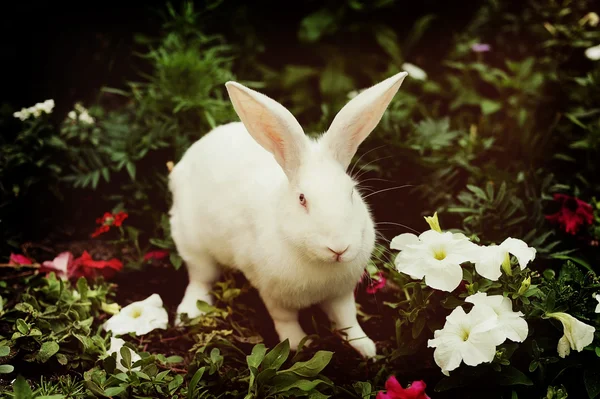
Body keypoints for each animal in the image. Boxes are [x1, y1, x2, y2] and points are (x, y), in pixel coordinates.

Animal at [171, 70, 410, 358]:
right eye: (302, 199)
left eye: (352, 192)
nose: (339, 248)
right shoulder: (273, 294)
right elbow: (285, 320)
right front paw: (298, 344)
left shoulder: (341, 294)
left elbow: (347, 319)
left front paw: (366, 347)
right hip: (193, 244)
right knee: (200, 278)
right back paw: (188, 312)